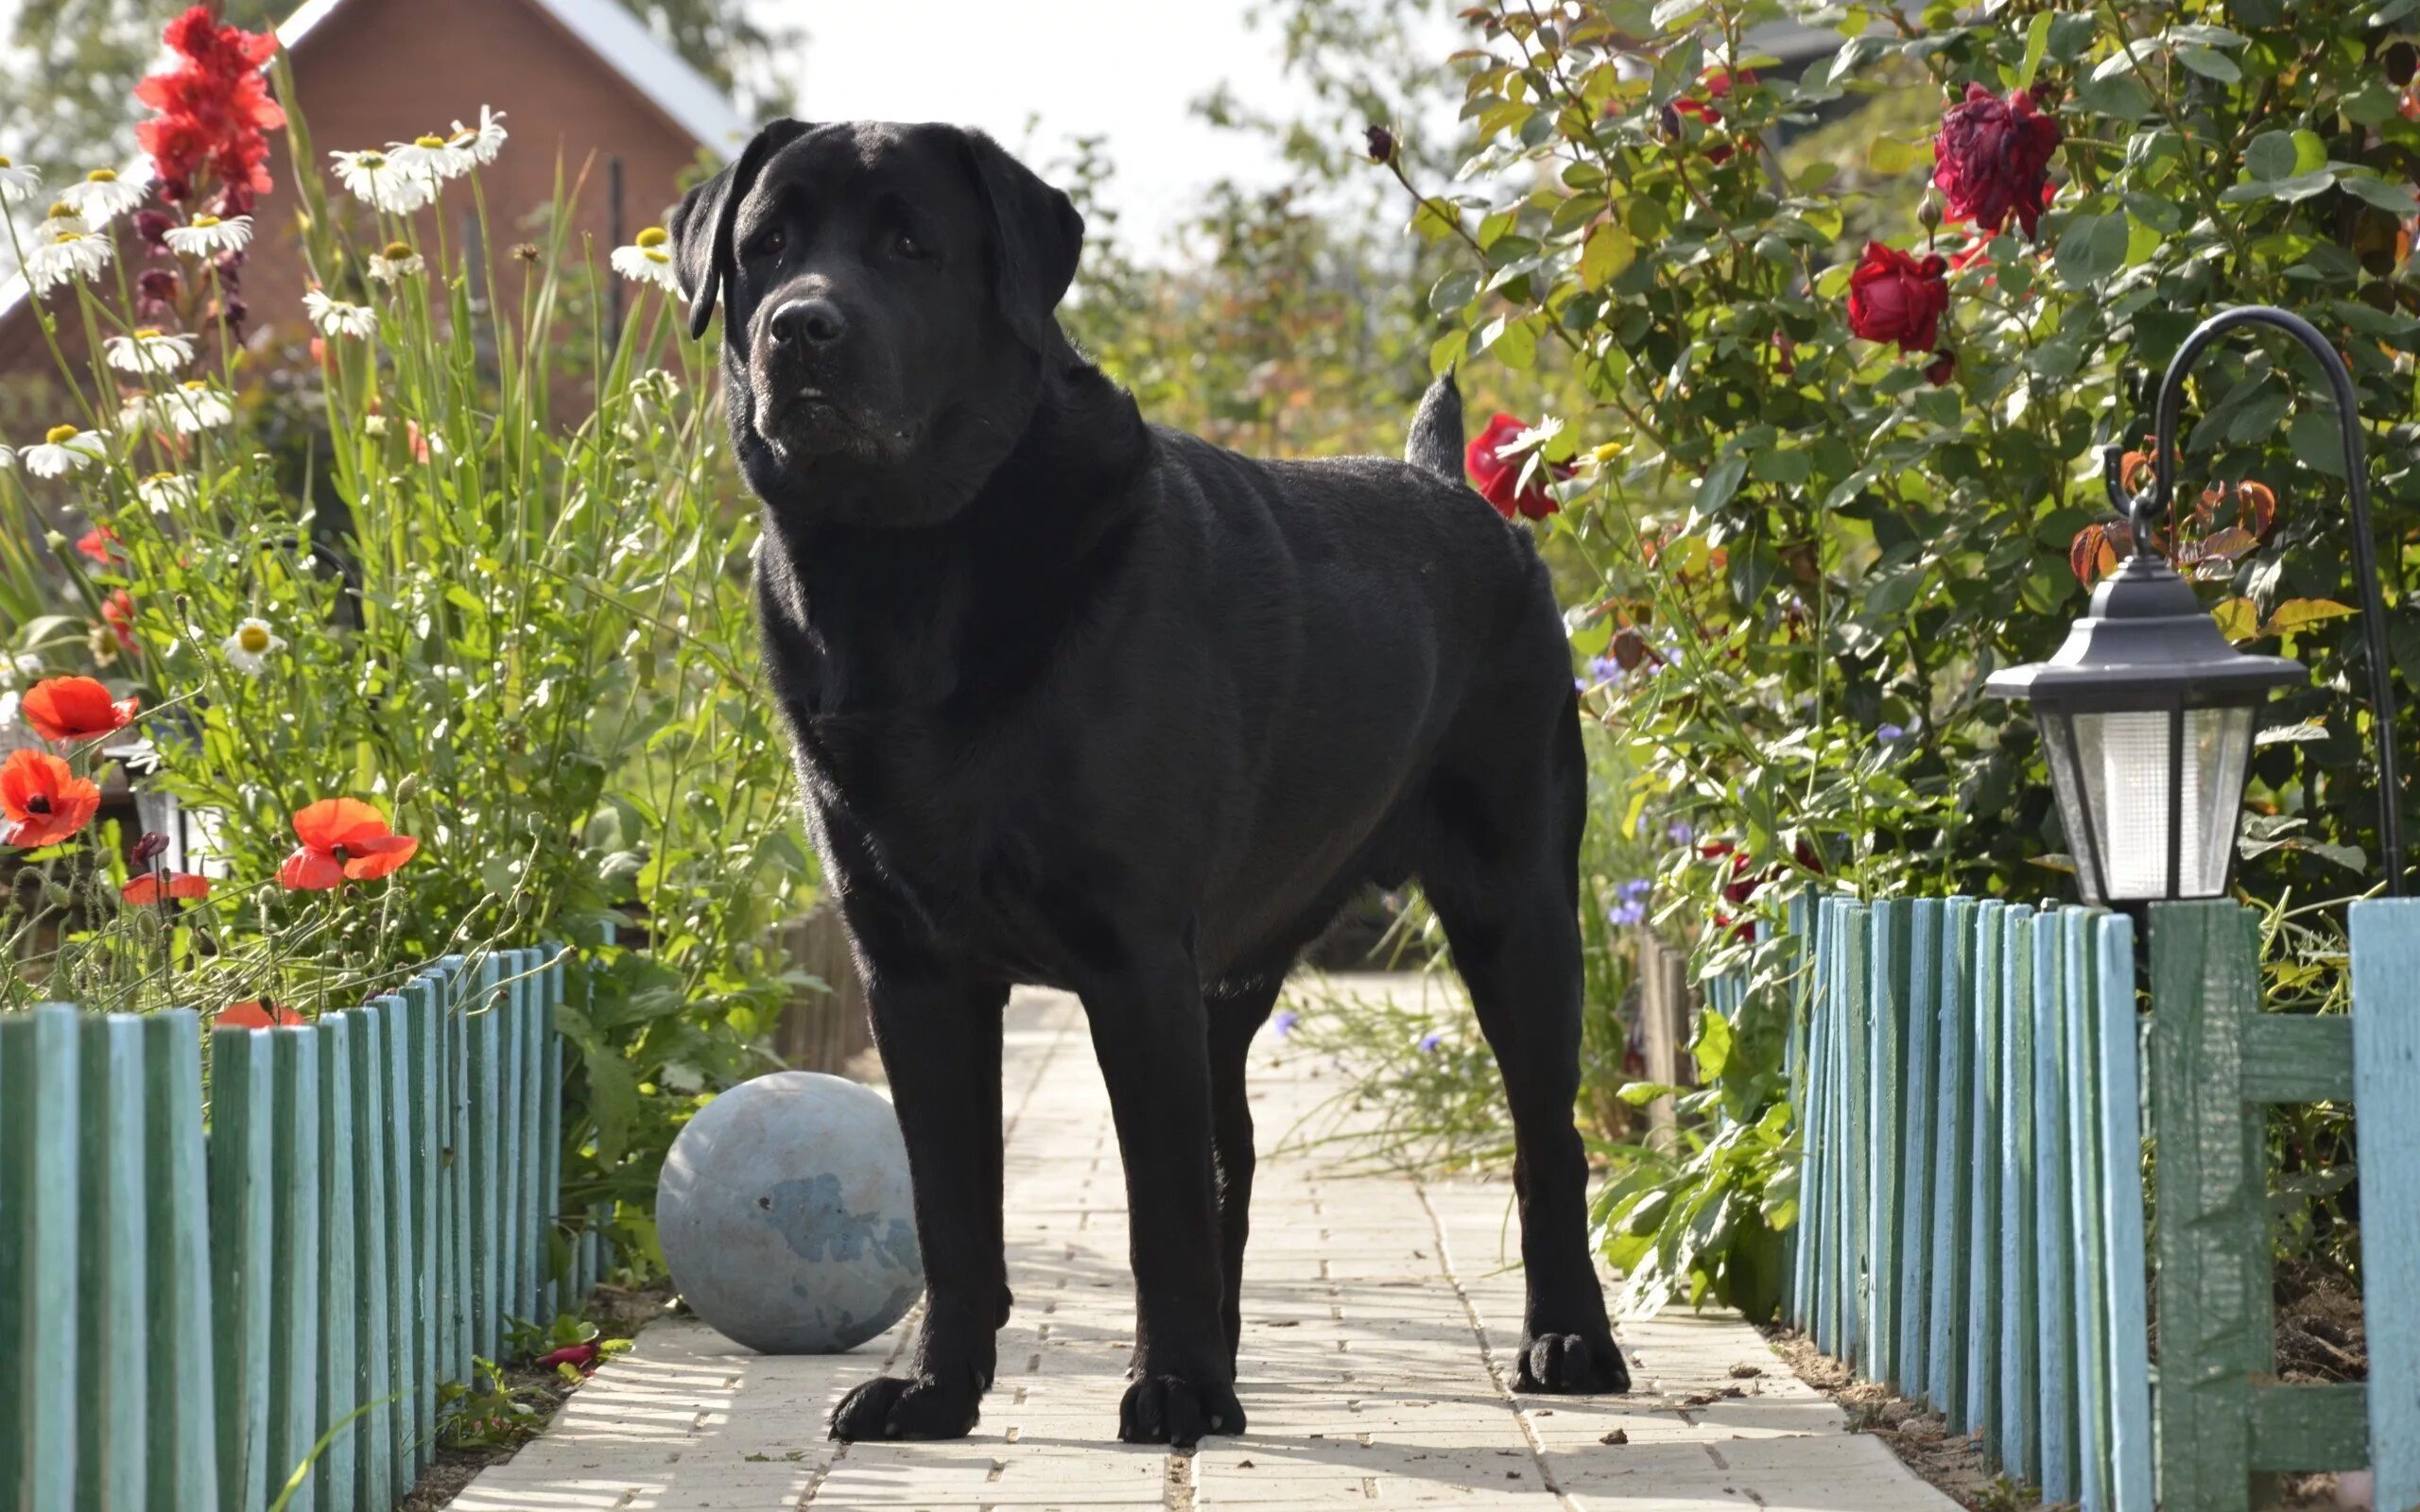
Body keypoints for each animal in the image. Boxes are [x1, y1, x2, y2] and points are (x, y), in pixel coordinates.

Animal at [672, 124, 1635, 1441]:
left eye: (910, 244)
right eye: (766, 245)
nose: (800, 326)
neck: (904, 573)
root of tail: (1454, 487)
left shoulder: (1131, 955)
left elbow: (1156, 1203)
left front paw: (1170, 1384)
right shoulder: (912, 970)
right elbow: (954, 1209)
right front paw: (935, 1389)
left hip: (1517, 907)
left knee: (1546, 1138)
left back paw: (1567, 1339)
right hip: (1229, 973)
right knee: (1232, 1152)